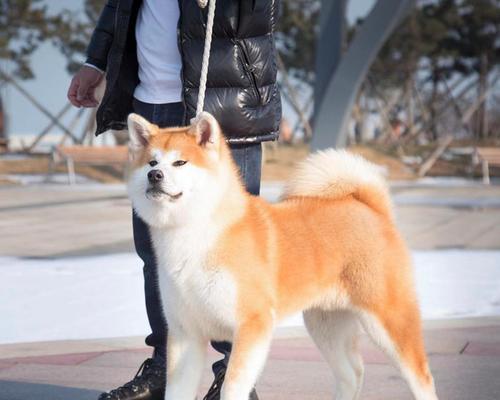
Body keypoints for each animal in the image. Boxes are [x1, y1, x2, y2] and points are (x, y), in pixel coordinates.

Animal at [126, 111, 438, 400]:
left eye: (180, 162)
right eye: (152, 162)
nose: (154, 176)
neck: (195, 232)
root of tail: (370, 208)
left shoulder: (252, 326)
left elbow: (232, 386)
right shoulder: (185, 334)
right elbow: (176, 390)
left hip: (388, 320)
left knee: (421, 376)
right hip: (325, 324)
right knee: (352, 373)